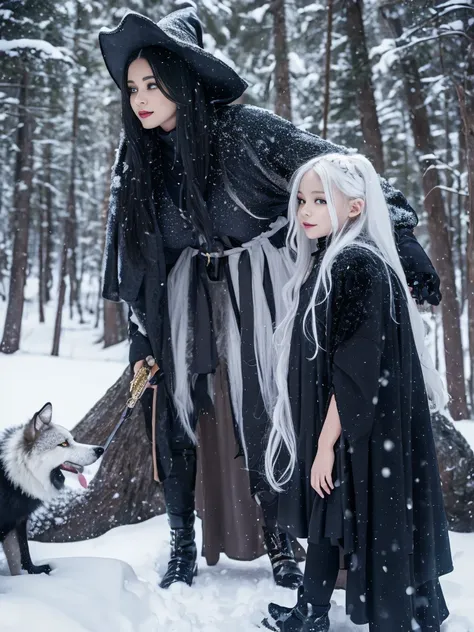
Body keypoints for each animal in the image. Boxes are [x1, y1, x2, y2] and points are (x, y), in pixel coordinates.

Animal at [0, 402, 103, 576]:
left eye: (73, 440)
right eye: (64, 444)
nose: (100, 449)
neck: (12, 474)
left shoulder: (19, 521)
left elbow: (22, 553)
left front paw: (32, 572)